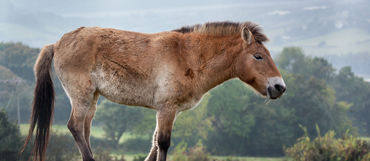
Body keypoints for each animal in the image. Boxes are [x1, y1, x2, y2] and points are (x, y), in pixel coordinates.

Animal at [22, 21, 286, 161]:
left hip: (92, 99)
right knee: (75, 127)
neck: (188, 56)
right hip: (82, 96)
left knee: (84, 130)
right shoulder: (166, 109)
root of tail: (57, 43)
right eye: (258, 56)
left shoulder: (169, 111)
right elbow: (163, 143)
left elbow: (154, 144)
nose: (279, 87)